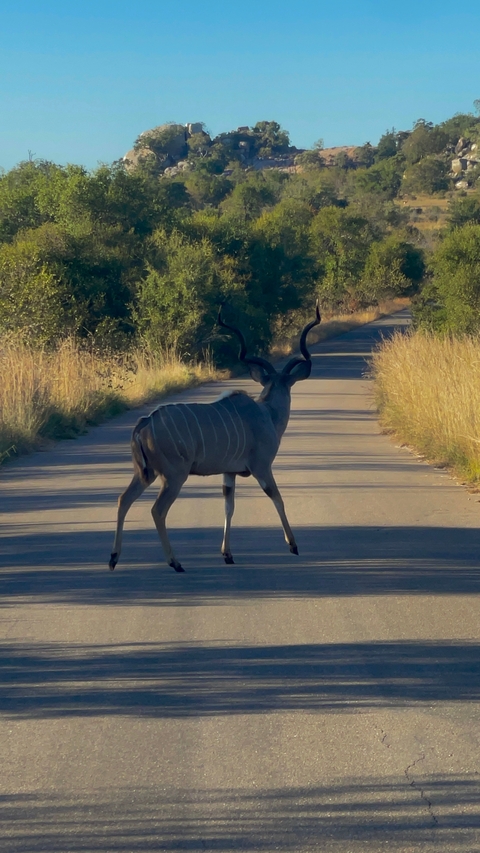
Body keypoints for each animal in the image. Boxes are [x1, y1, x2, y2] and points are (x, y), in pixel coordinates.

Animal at [109, 303, 321, 572]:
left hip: (145, 473)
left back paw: (113, 559)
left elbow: (229, 506)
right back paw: (175, 563)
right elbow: (277, 497)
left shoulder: (229, 473)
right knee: (157, 510)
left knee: (123, 499)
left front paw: (227, 554)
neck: (267, 413)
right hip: (174, 476)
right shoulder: (262, 467)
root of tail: (144, 424)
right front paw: (293, 545)